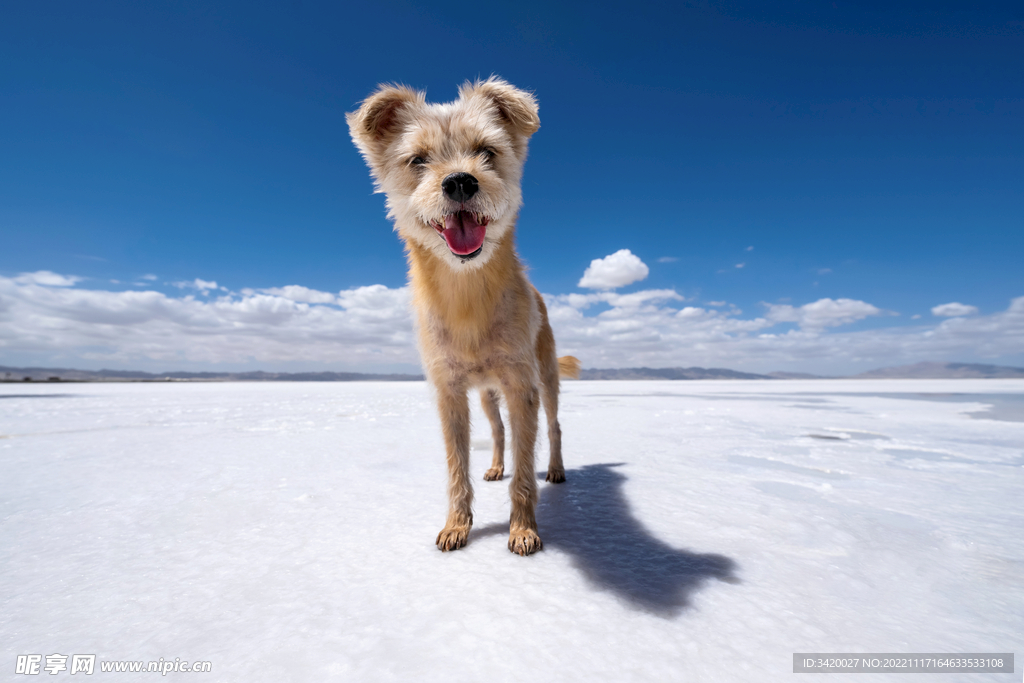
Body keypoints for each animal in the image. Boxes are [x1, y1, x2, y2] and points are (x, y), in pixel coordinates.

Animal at [350, 77, 581, 557]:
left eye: (486, 152)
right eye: (418, 160)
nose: (459, 180)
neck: (467, 296)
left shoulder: (522, 385)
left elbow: (526, 468)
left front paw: (522, 529)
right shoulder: (449, 391)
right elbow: (458, 463)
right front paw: (457, 524)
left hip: (547, 377)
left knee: (553, 427)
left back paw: (555, 469)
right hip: (488, 396)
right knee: (498, 432)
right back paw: (494, 466)